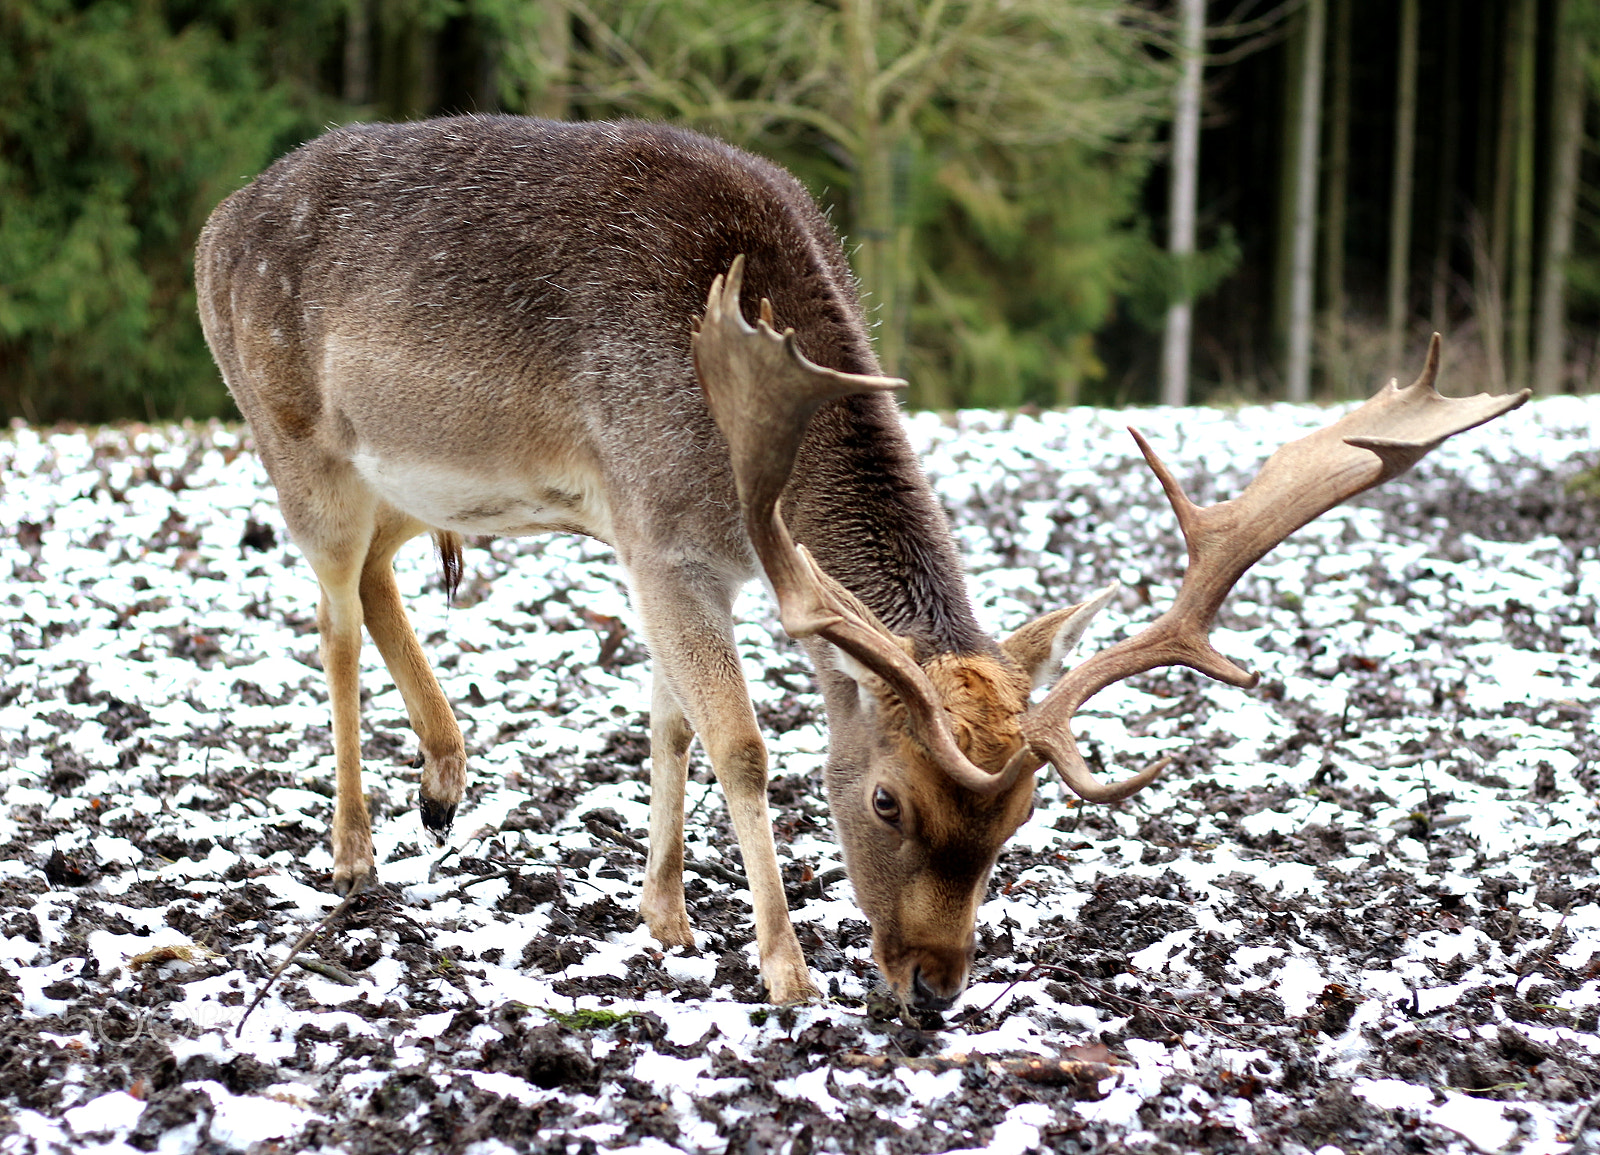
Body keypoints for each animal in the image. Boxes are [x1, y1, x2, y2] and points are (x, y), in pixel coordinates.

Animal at [196, 115, 1528, 1012]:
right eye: (887, 801)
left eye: (1021, 818)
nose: (935, 983)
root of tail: (213, 224)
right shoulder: (655, 524)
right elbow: (739, 741)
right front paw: (781, 965)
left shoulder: (677, 553)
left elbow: (670, 726)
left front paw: (665, 917)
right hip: (295, 438)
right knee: (328, 617)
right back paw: (358, 844)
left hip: (412, 483)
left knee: (381, 578)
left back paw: (446, 776)